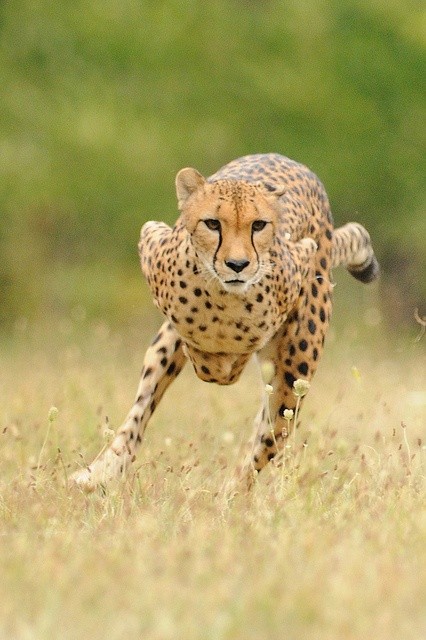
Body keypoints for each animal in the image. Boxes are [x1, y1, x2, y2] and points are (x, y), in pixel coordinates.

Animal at [71, 154, 378, 490]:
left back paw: (229, 492)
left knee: (267, 439)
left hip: (296, 372)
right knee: (140, 412)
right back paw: (99, 472)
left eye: (258, 225)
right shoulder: (150, 238)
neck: (221, 298)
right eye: (212, 224)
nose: (238, 264)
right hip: (163, 351)